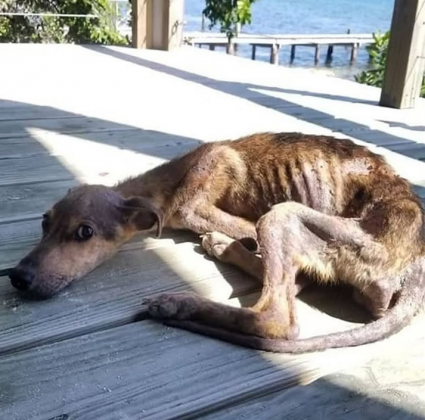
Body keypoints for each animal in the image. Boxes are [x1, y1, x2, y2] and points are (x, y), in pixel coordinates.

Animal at [9, 133, 424, 352]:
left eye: (84, 232)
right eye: (44, 223)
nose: (18, 277)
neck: (170, 181)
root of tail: (416, 258)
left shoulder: (195, 205)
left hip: (284, 215)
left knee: (279, 315)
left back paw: (185, 294)